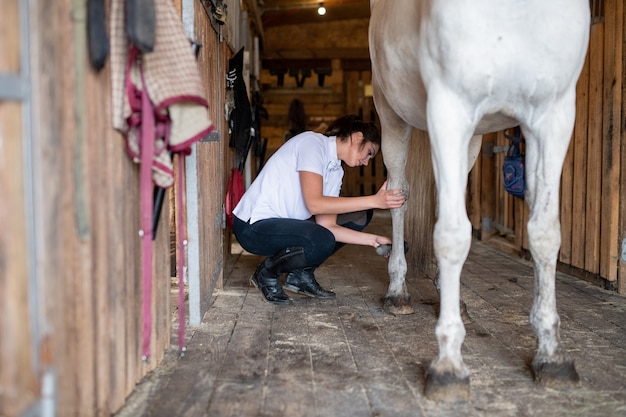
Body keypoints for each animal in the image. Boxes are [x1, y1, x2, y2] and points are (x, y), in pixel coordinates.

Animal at [368, 0, 592, 400]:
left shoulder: (553, 115)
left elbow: (545, 234)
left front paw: (551, 355)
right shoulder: (448, 108)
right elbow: (452, 236)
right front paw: (449, 365)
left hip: (471, 138)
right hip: (393, 116)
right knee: (399, 195)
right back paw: (397, 292)